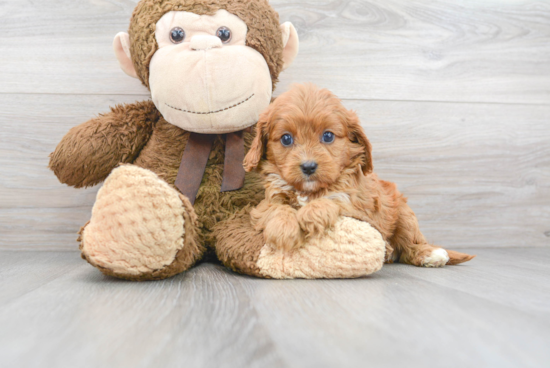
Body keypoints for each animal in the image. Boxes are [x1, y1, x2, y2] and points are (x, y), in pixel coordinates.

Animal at [244, 83, 476, 268]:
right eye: (286, 139)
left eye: (328, 136)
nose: (308, 167)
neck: (308, 191)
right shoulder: (268, 200)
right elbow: (276, 208)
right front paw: (284, 229)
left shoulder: (359, 209)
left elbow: (333, 200)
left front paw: (311, 214)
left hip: (404, 214)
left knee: (411, 244)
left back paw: (430, 254)